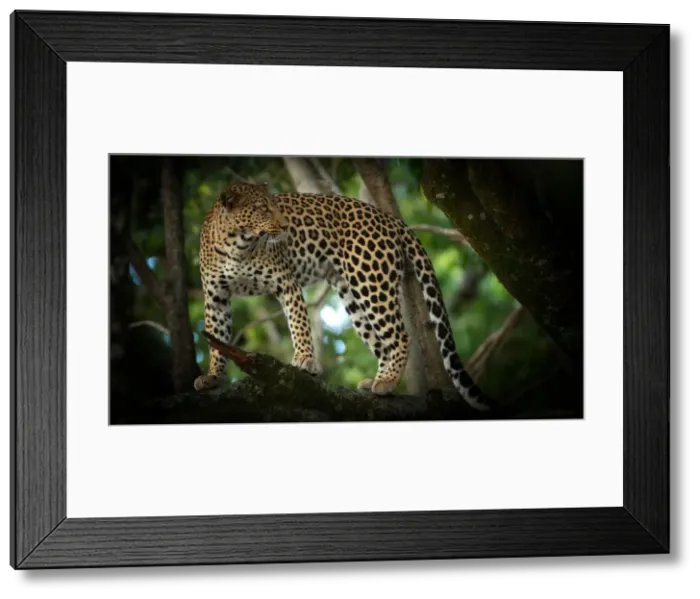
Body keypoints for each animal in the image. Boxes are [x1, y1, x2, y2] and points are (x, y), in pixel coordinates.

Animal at [193, 181, 491, 412]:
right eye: (263, 208)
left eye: (275, 205)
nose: (286, 226)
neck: (238, 247)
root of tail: (391, 219)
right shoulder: (216, 297)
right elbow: (216, 337)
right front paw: (213, 377)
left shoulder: (286, 283)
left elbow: (299, 325)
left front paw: (305, 361)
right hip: (353, 297)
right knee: (382, 342)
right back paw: (378, 381)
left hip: (370, 281)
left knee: (399, 336)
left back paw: (387, 382)